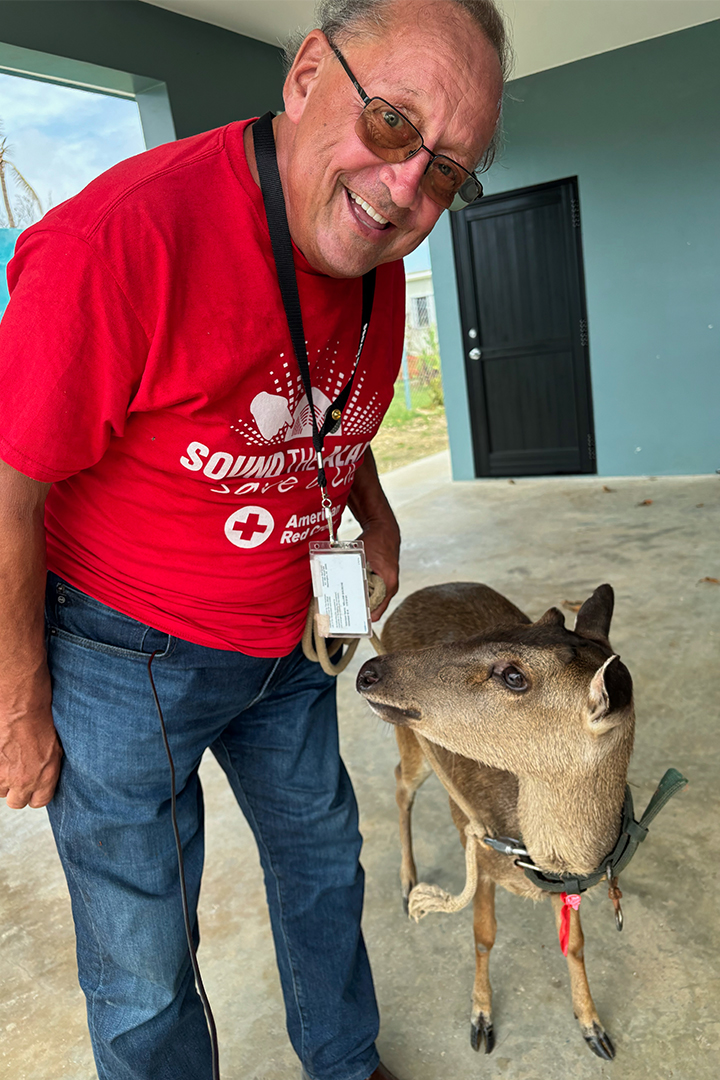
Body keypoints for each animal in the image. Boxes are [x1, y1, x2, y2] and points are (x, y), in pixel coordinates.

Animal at [356, 581, 683, 1061]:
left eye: (514, 675)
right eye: (488, 633)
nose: (368, 671)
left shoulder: (568, 886)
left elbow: (576, 945)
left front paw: (595, 1029)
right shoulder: (479, 846)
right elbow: (483, 935)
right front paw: (480, 1021)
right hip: (412, 743)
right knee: (400, 782)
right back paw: (407, 882)